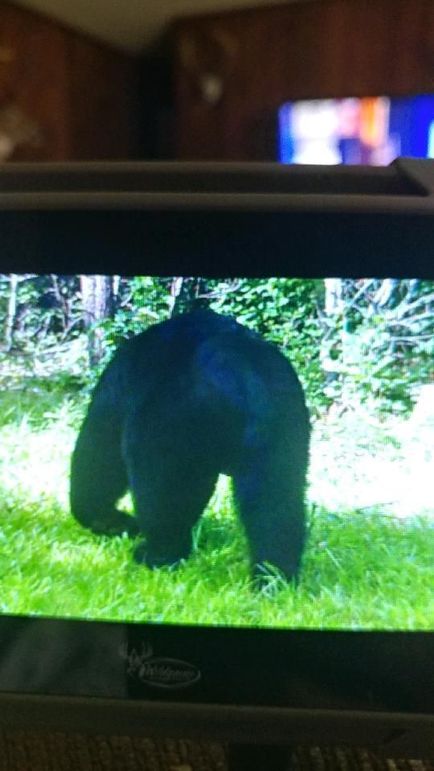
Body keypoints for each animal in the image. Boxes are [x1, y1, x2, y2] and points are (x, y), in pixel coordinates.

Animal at [70, 310, 310, 583]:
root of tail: (242, 371)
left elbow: (99, 455)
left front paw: (107, 520)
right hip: (281, 429)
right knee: (276, 502)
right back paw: (274, 576)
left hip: (168, 421)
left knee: (159, 490)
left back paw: (158, 554)